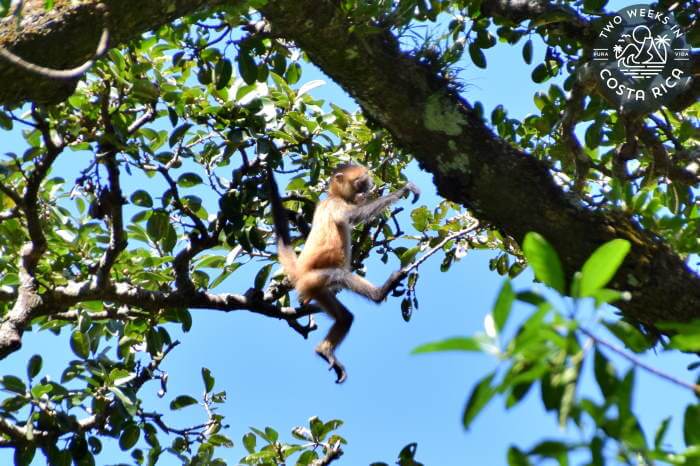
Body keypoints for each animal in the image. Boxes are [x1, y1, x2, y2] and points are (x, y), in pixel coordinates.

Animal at [268, 164, 422, 382]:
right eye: (359, 183)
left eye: (365, 184)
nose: (365, 191)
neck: (332, 196)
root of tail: (300, 272)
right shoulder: (336, 205)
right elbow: (354, 216)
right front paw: (402, 191)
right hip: (314, 279)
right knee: (340, 276)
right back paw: (379, 293)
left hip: (319, 289)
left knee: (345, 318)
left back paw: (324, 350)